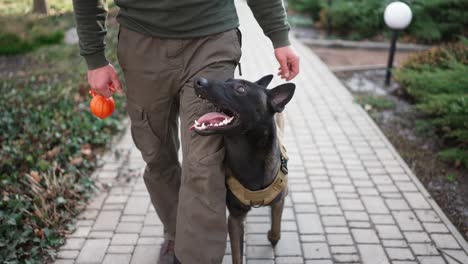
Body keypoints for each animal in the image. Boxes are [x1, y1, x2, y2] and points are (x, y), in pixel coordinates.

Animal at [191, 75, 294, 262]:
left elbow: (276, 229)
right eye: (226, 80)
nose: (198, 81)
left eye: (240, 89)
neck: (247, 155)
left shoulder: (278, 202)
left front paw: (272, 236)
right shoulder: (235, 219)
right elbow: (237, 255)